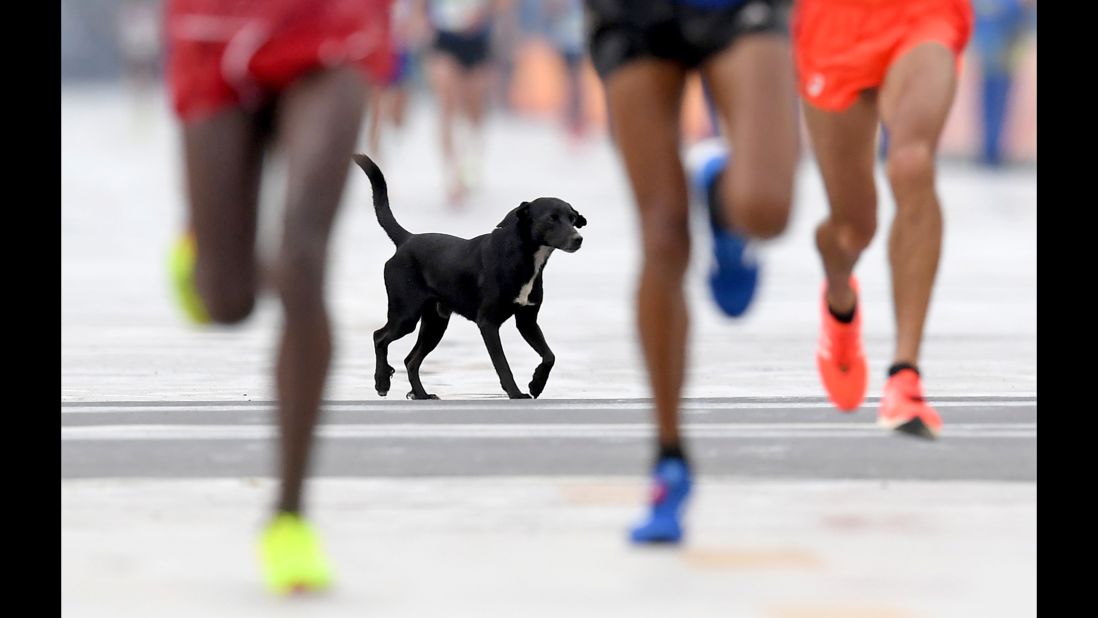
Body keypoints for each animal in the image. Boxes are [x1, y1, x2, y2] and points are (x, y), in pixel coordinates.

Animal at [355, 154, 588, 401]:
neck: (523, 257)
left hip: (435, 322)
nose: (578, 239)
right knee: (379, 337)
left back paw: (421, 394)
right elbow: (502, 364)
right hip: (405, 315)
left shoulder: (527, 320)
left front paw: (536, 384)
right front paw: (516, 393)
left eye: (572, 218)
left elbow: (549, 356)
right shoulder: (488, 323)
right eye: (551, 219)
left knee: (411, 360)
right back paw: (382, 381)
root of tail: (407, 239)